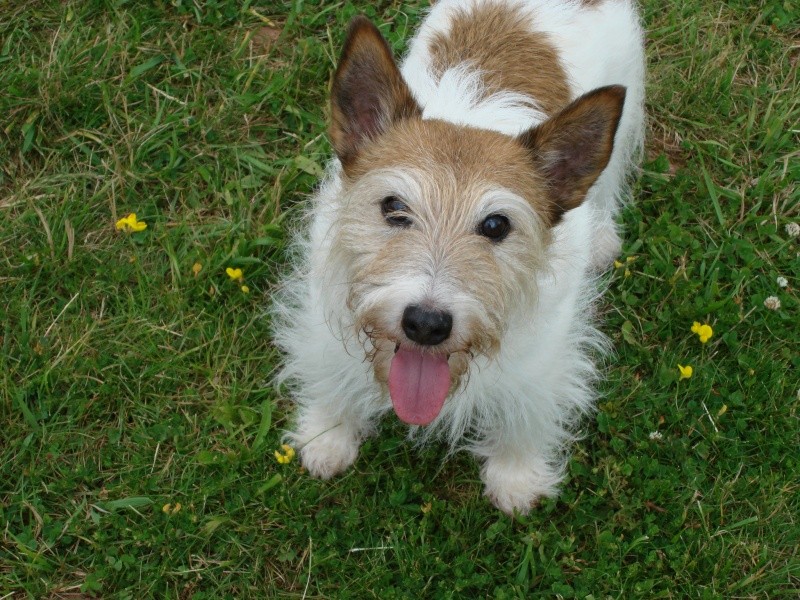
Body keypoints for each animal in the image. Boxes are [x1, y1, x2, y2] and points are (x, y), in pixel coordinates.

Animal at [272, 1, 648, 516]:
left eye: (496, 226)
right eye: (393, 206)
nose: (426, 324)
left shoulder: (544, 354)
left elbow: (528, 409)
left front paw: (516, 474)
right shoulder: (325, 312)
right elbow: (328, 371)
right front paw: (328, 435)